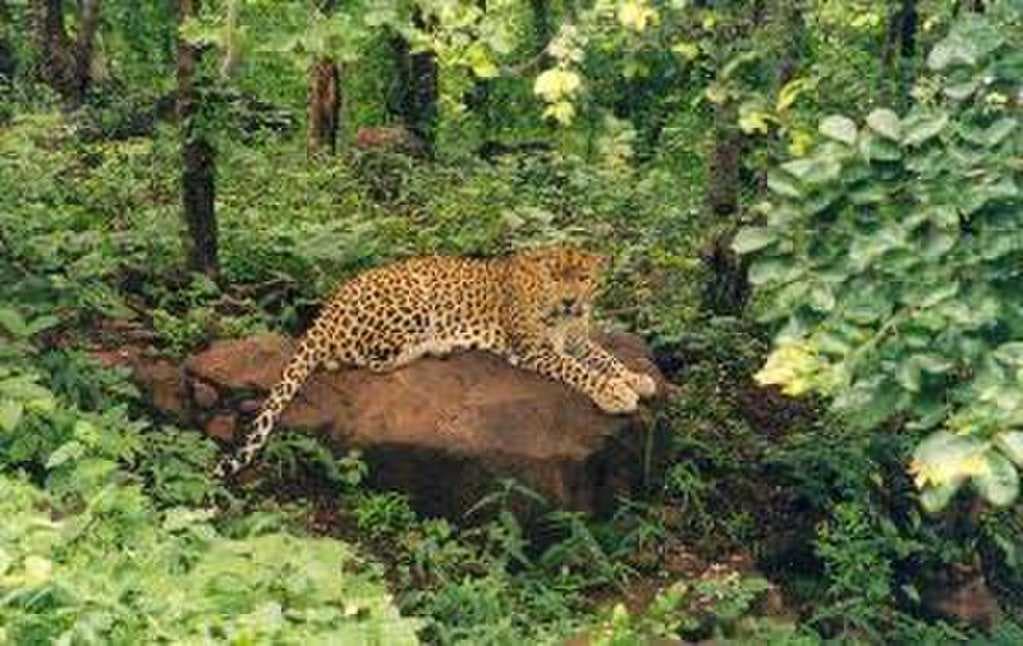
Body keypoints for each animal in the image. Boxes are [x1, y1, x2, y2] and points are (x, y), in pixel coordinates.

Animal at [213, 246, 657, 478]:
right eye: (556, 277)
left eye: (582, 278)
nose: (568, 301)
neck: (562, 316)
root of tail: (327, 310)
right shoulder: (533, 349)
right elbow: (578, 370)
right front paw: (615, 394)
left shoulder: (578, 338)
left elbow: (604, 356)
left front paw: (635, 378)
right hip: (410, 301)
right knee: (365, 359)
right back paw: (436, 347)